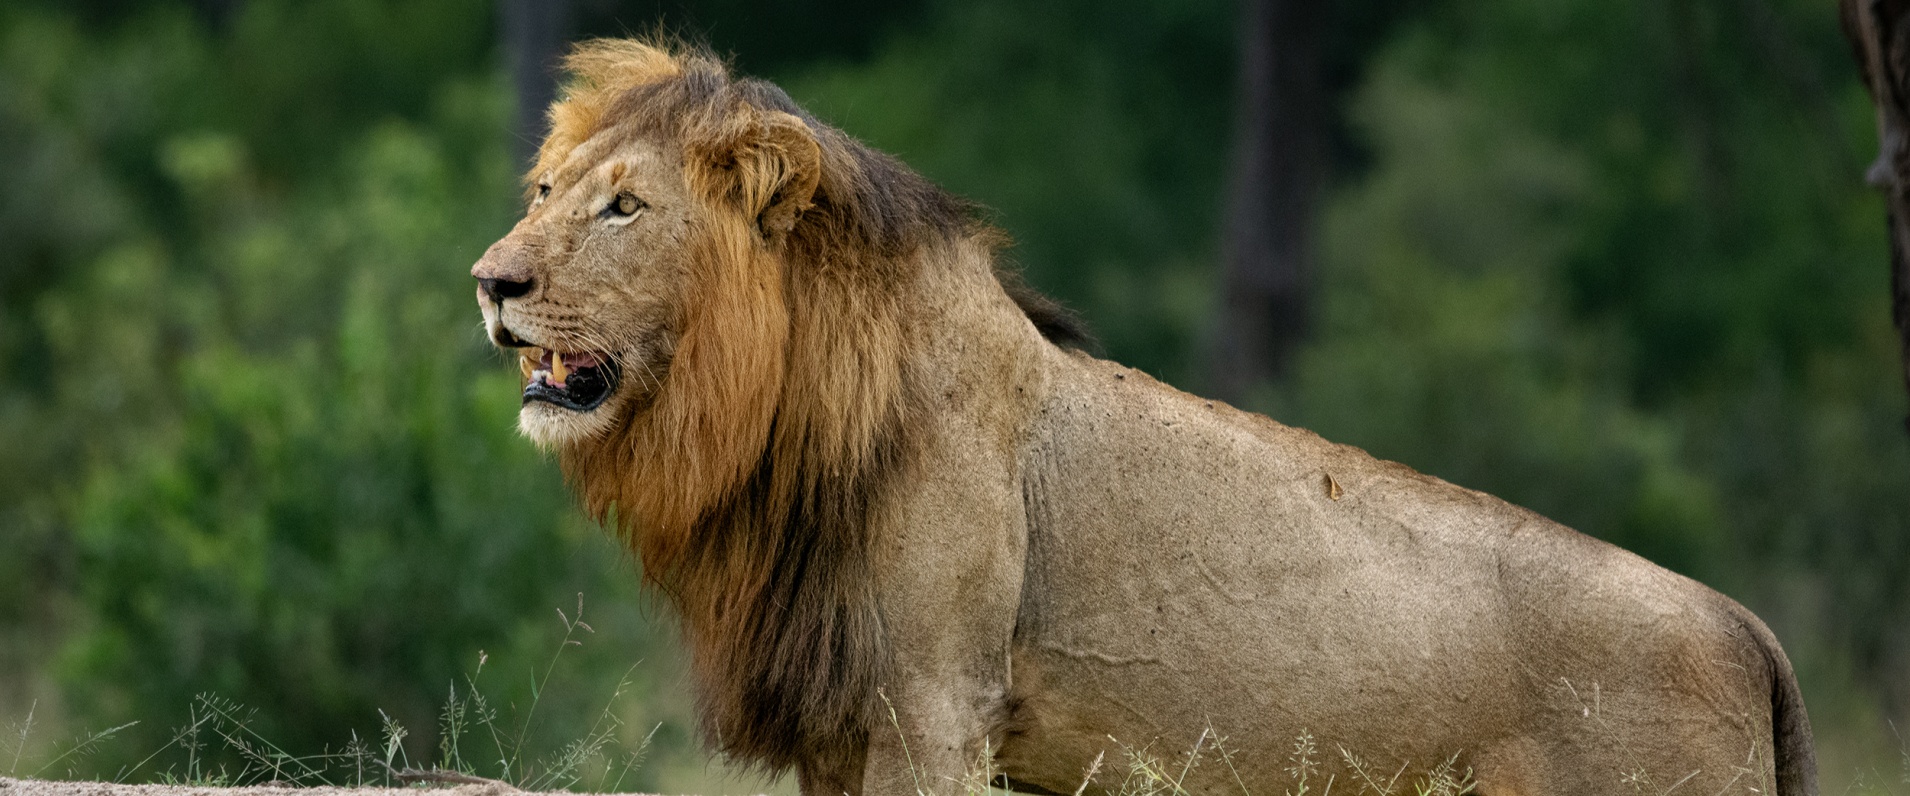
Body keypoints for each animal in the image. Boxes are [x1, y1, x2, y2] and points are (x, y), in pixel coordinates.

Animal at [471, 39, 1817, 796]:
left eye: (624, 208)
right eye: (541, 189)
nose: (491, 280)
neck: (780, 422)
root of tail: (1750, 630)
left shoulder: (930, 712)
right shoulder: (840, 731)